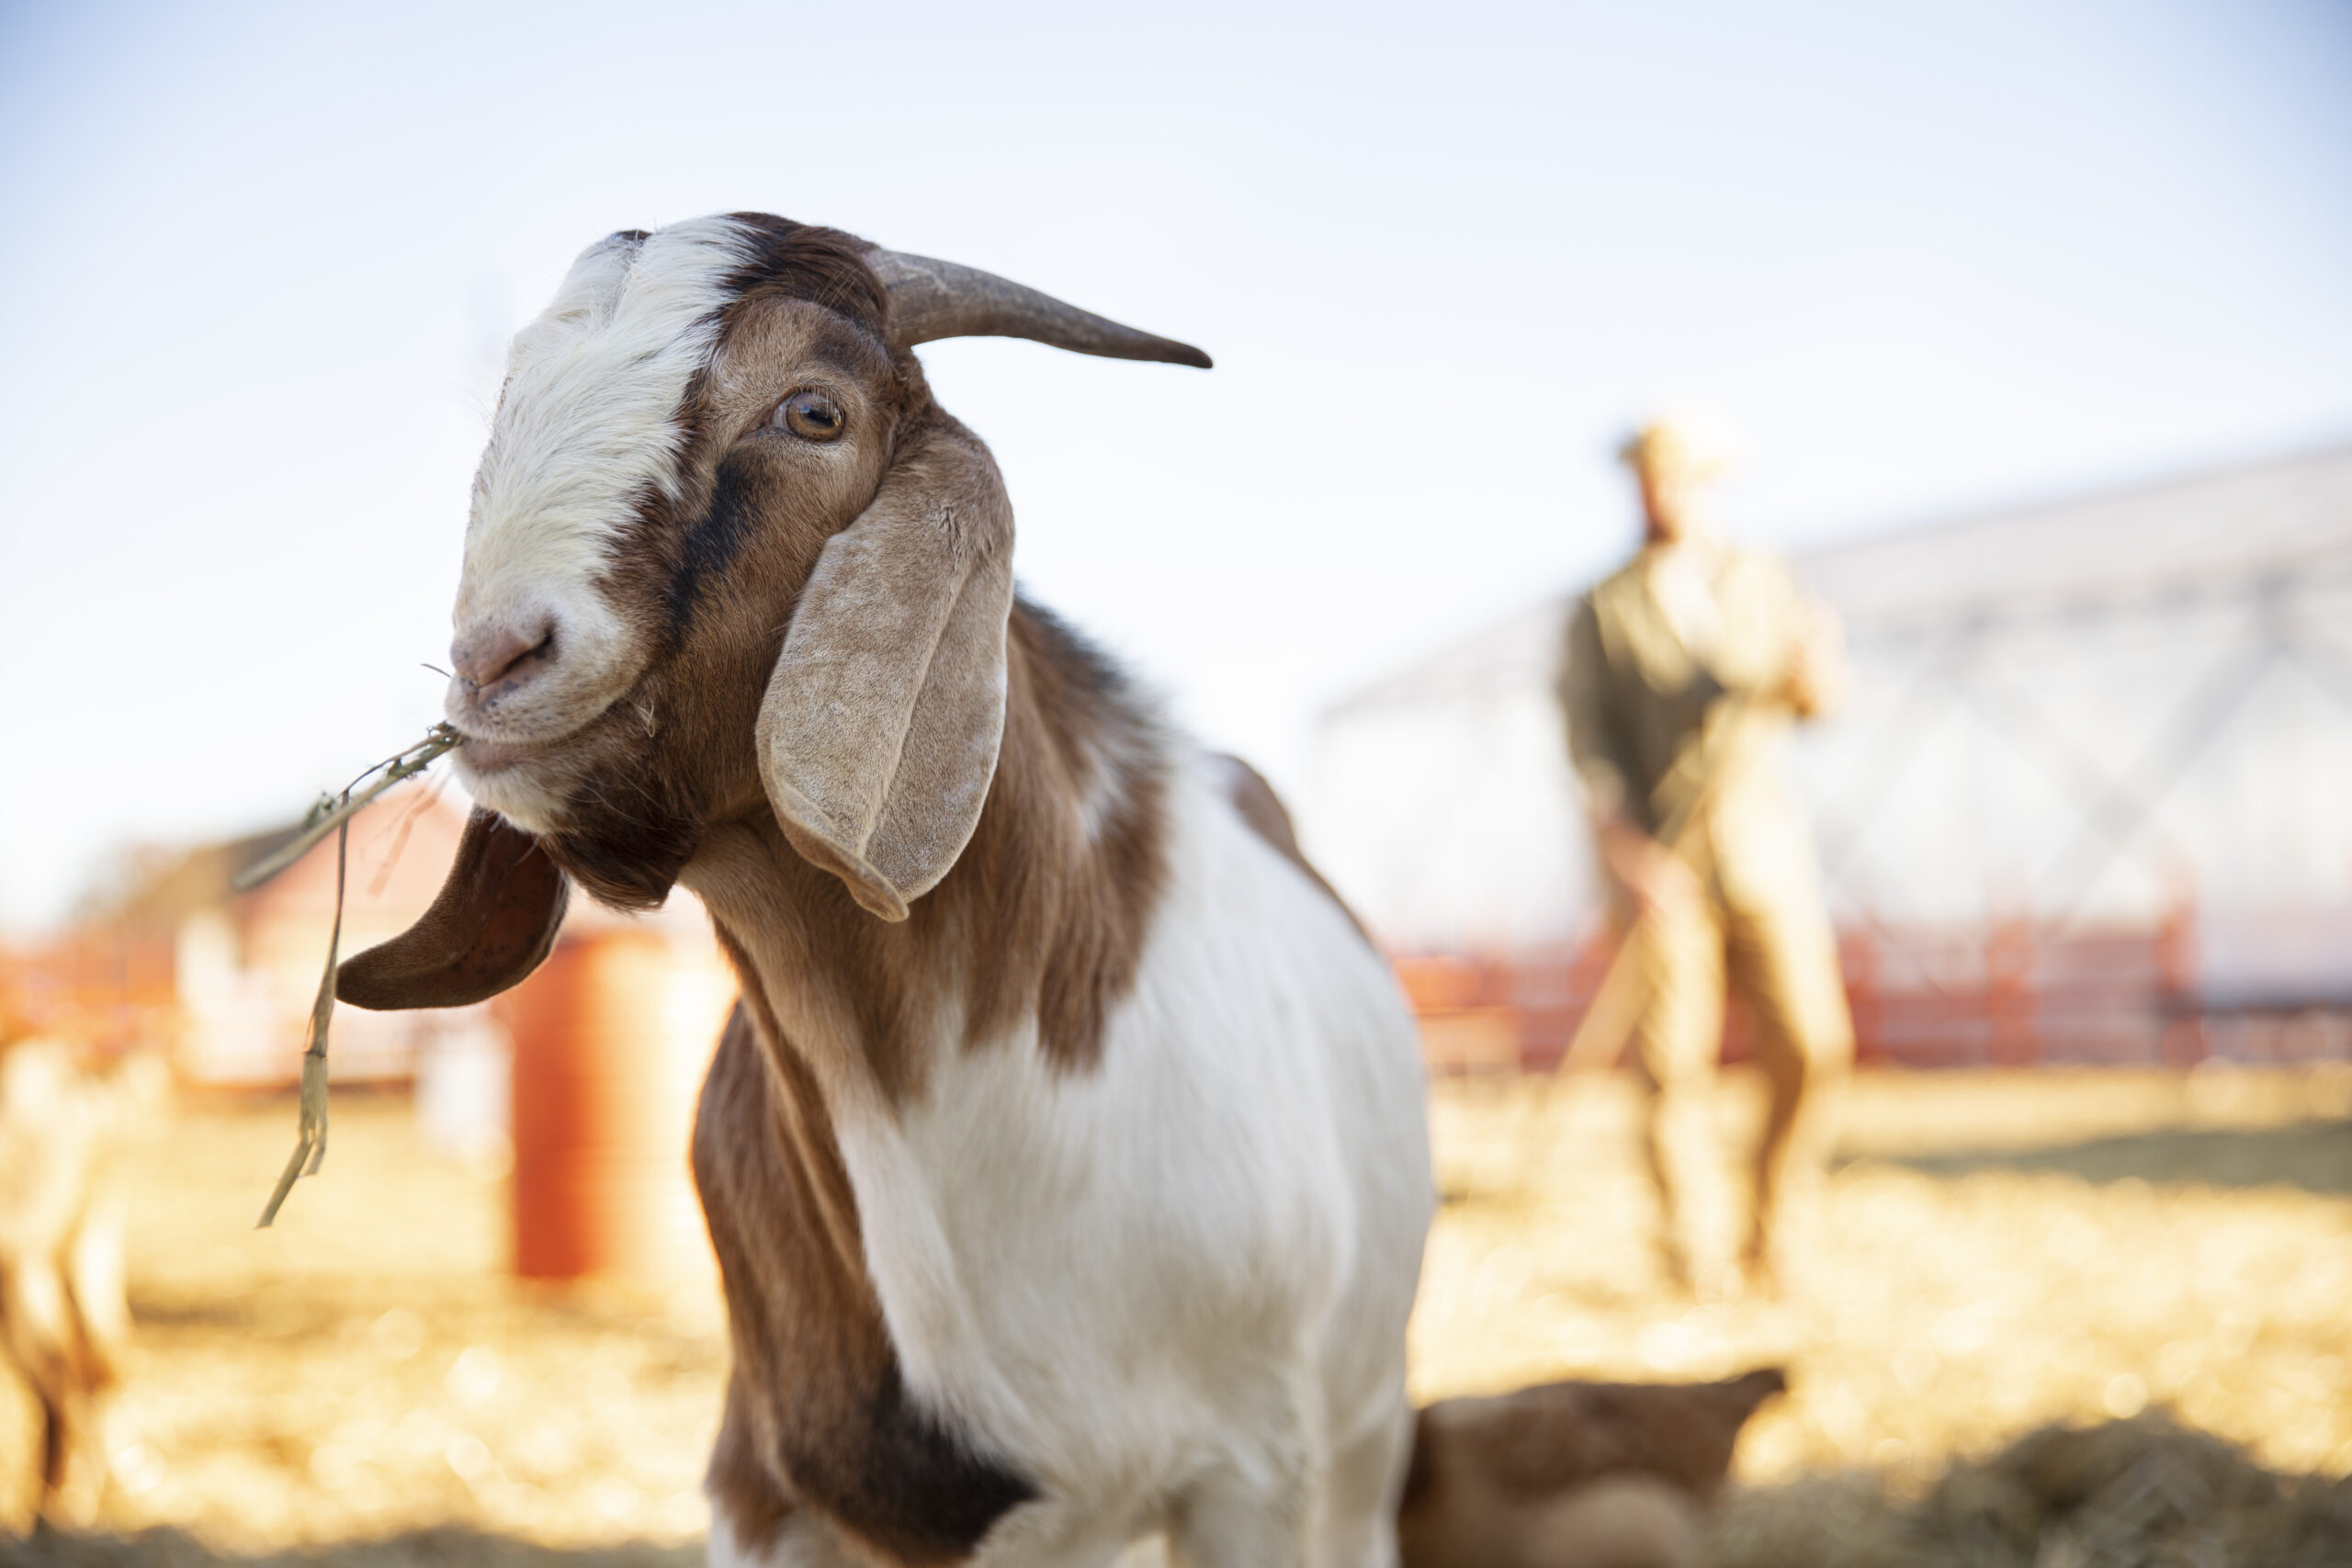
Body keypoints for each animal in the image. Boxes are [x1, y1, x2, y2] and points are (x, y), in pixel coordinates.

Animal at [331, 217, 1430, 1568]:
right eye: (510, 399)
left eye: (815, 411)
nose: (495, 659)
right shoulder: (763, 1482)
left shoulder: (1252, 1471)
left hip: (1362, 1431)